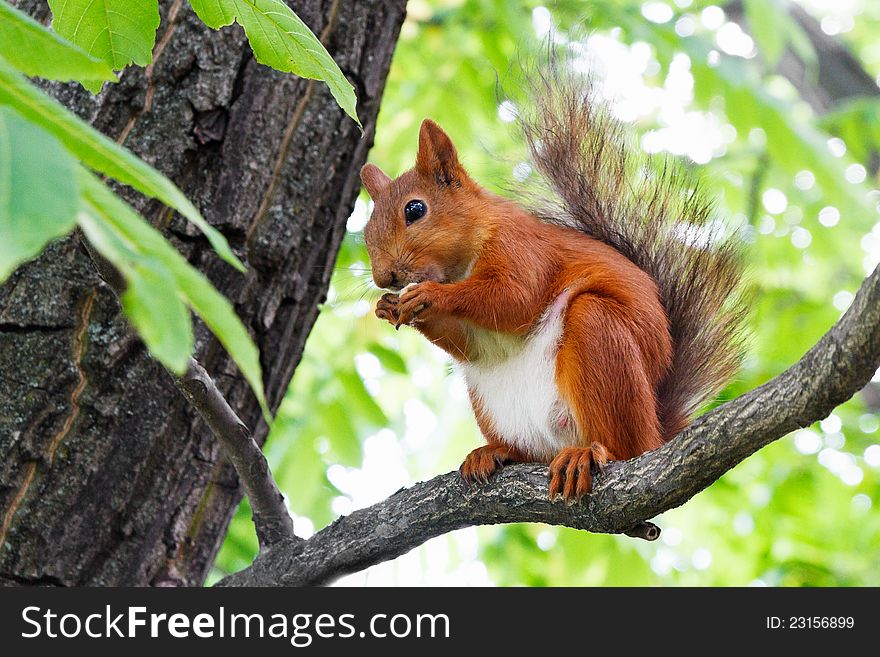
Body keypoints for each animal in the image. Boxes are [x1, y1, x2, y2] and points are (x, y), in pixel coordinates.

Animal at [358, 74, 744, 500]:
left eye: (415, 209)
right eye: (366, 229)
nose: (384, 277)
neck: (462, 262)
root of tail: (657, 431)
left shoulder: (522, 248)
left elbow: (514, 299)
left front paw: (429, 295)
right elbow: (466, 341)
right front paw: (389, 307)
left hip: (601, 339)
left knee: (623, 444)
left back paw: (589, 453)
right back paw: (497, 452)